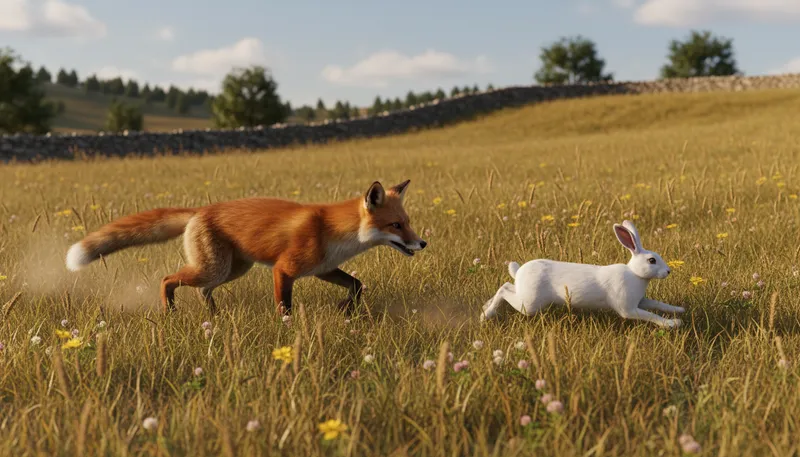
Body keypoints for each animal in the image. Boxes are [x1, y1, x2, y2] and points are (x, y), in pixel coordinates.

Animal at [64, 179, 427, 316]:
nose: (422, 242)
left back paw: (212, 317)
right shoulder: (285, 269)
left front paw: (344, 309)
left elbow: (357, 285)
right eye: (396, 226)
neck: (334, 232)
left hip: (233, 269)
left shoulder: (322, 269)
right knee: (168, 279)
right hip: (214, 268)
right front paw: (287, 329)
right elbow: (285, 307)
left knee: (203, 291)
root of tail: (200, 210)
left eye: (407, 222)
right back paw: (170, 311)